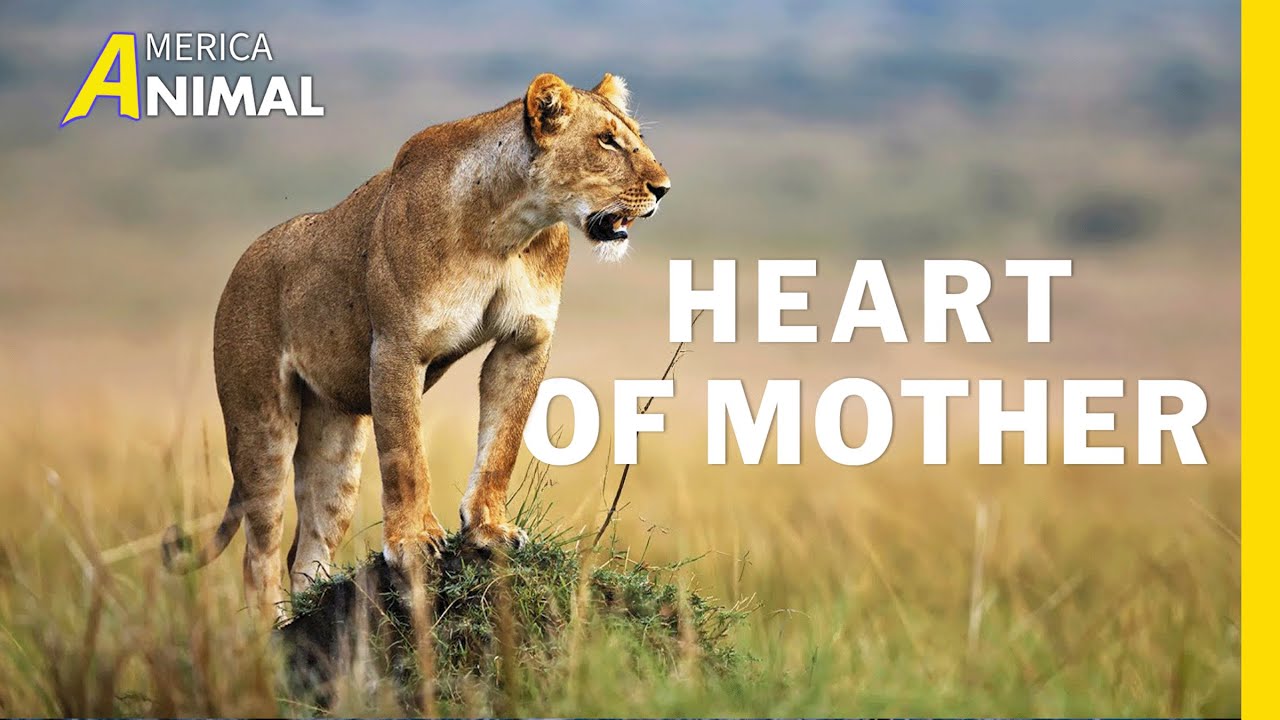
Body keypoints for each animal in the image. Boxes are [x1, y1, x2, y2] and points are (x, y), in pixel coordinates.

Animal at [161, 72, 671, 619]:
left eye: (636, 136)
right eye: (606, 141)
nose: (663, 188)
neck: (508, 228)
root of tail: (242, 263)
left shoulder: (524, 341)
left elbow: (502, 443)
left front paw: (488, 529)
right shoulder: (397, 346)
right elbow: (406, 455)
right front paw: (412, 542)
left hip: (336, 442)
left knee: (308, 547)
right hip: (260, 424)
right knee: (259, 551)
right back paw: (271, 630)